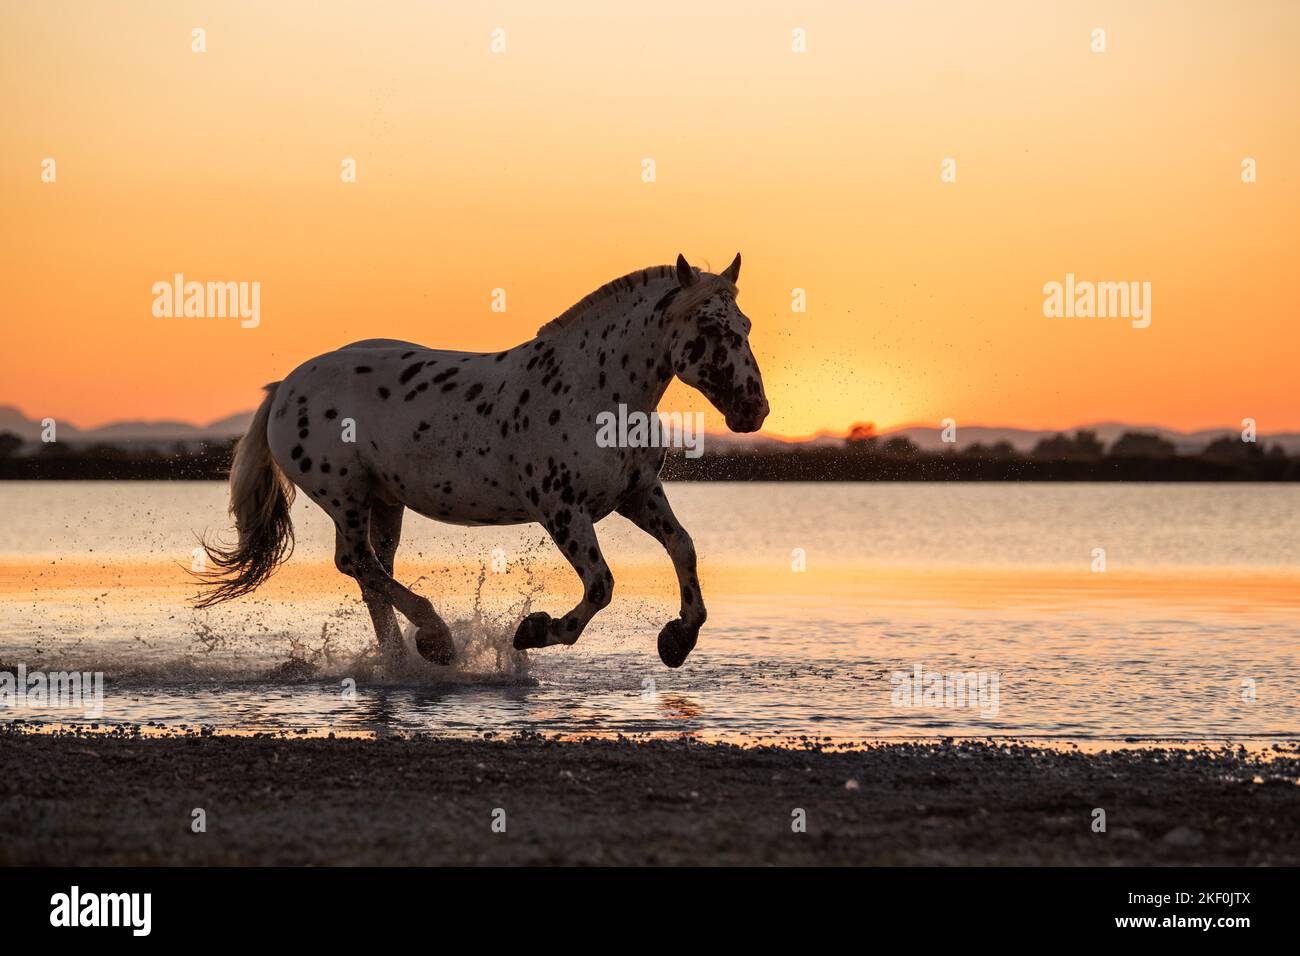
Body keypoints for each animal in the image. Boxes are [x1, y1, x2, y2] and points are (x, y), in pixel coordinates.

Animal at [195, 253, 769, 668]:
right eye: (711, 328)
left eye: (745, 324)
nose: (754, 409)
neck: (592, 389)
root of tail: (286, 387)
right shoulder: (562, 511)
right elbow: (601, 585)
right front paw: (535, 631)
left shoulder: (637, 494)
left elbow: (683, 548)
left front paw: (677, 640)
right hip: (346, 497)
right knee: (359, 563)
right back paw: (436, 641)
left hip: (384, 501)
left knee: (371, 571)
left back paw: (401, 659)